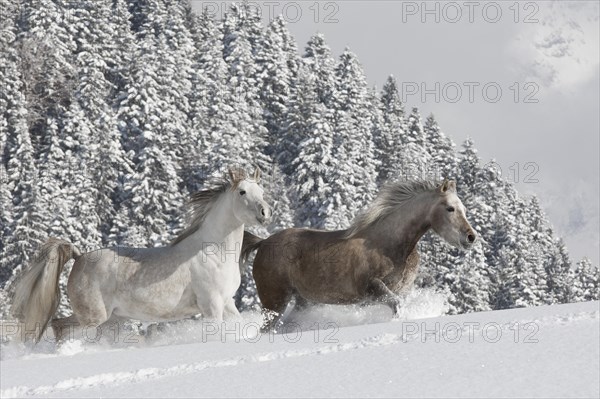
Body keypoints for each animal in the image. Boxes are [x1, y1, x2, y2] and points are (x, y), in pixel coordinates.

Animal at [11, 167, 272, 342]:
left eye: (261, 190)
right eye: (242, 192)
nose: (265, 212)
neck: (213, 252)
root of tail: (79, 257)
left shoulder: (227, 302)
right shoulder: (212, 305)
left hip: (111, 320)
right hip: (94, 317)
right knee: (61, 327)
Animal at [241, 180, 476, 330]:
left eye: (463, 208)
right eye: (450, 208)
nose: (471, 237)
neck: (389, 244)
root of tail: (263, 242)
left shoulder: (401, 289)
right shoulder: (372, 288)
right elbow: (396, 305)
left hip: (303, 301)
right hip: (274, 301)